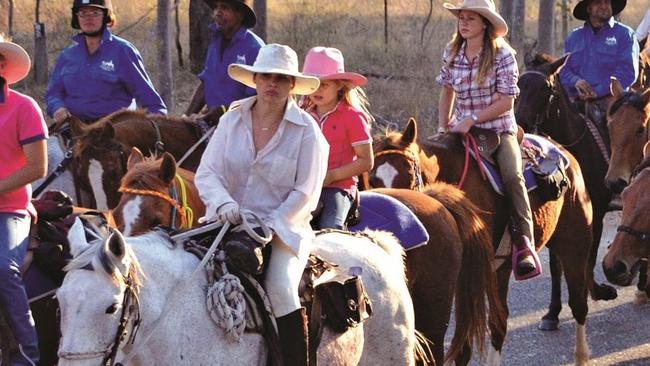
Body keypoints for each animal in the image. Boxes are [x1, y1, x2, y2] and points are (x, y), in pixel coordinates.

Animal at [370, 118, 592, 364]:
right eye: (371, 180)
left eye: (410, 176)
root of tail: (564, 152)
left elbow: (464, 344)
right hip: (501, 269)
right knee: (499, 321)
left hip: (574, 246)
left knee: (578, 304)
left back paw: (581, 355)